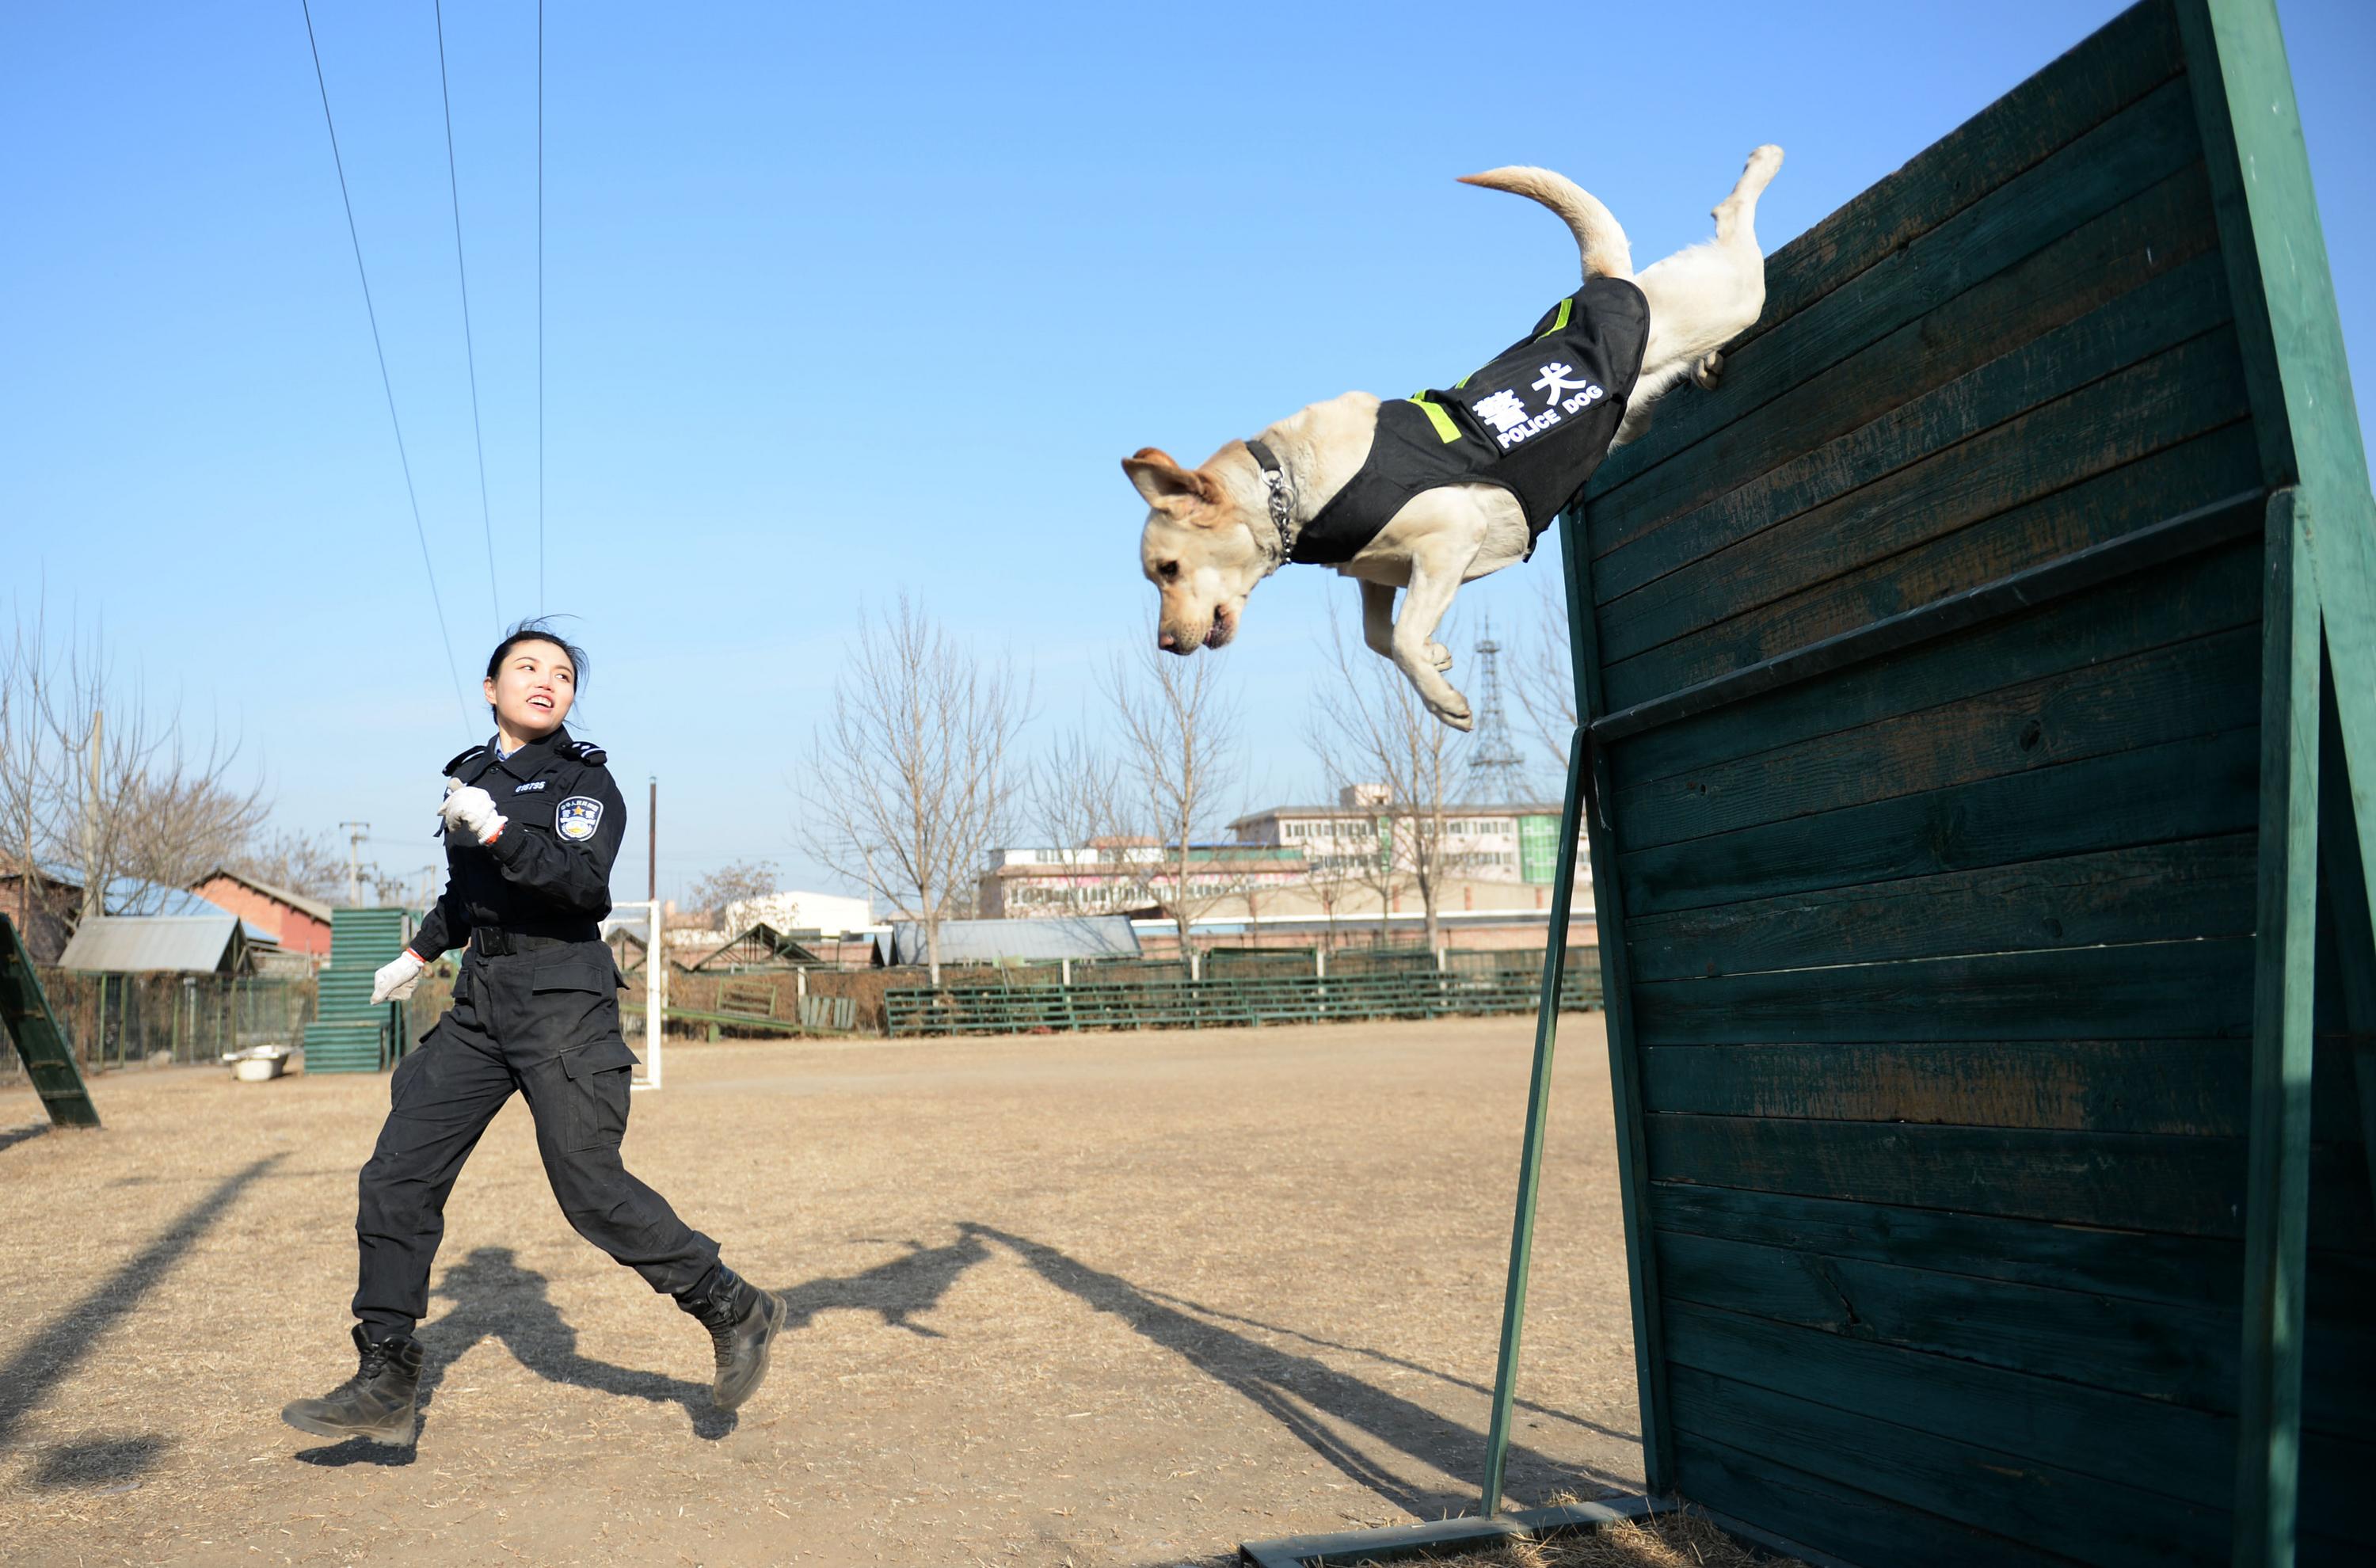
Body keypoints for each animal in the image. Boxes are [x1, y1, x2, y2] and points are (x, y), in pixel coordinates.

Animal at [1131, 145, 1787, 727]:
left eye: (1168, 569)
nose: (1165, 646)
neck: (1286, 482)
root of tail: (1603, 281)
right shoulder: (1376, 575)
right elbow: (1379, 637)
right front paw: (1438, 660)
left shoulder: (1451, 535)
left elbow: (1400, 638)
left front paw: (1444, 698)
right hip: (1639, 406)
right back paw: (1706, 365)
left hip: (1730, 297)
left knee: (1731, 225)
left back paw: (1764, 161)